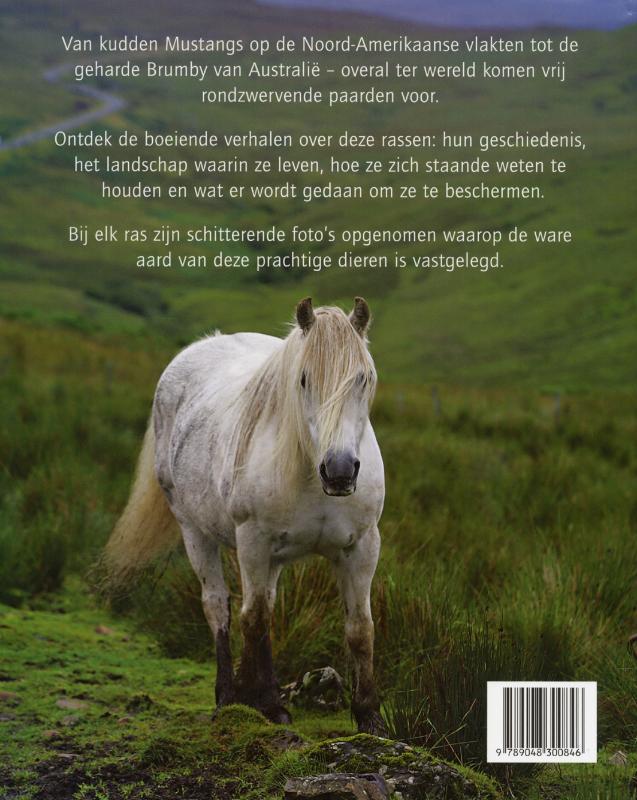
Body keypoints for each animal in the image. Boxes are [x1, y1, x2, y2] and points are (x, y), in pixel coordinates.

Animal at [104, 297, 386, 734]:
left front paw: (369, 717)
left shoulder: (362, 547)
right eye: (303, 379)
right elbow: (254, 620)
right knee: (218, 607)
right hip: (196, 533)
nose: (339, 471)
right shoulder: (253, 542)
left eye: (364, 378)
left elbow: (360, 628)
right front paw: (267, 705)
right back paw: (228, 695)